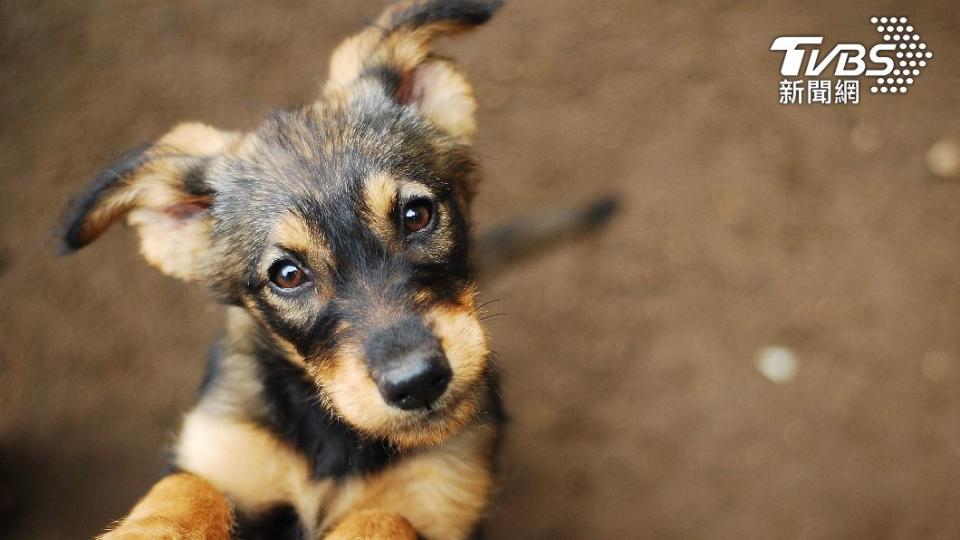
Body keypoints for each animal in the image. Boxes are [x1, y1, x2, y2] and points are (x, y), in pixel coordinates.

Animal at [62, 2, 616, 536]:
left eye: (416, 215)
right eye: (287, 275)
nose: (417, 382)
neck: (337, 439)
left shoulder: (438, 498)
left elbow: (384, 518)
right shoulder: (223, 450)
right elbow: (187, 487)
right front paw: (149, 530)